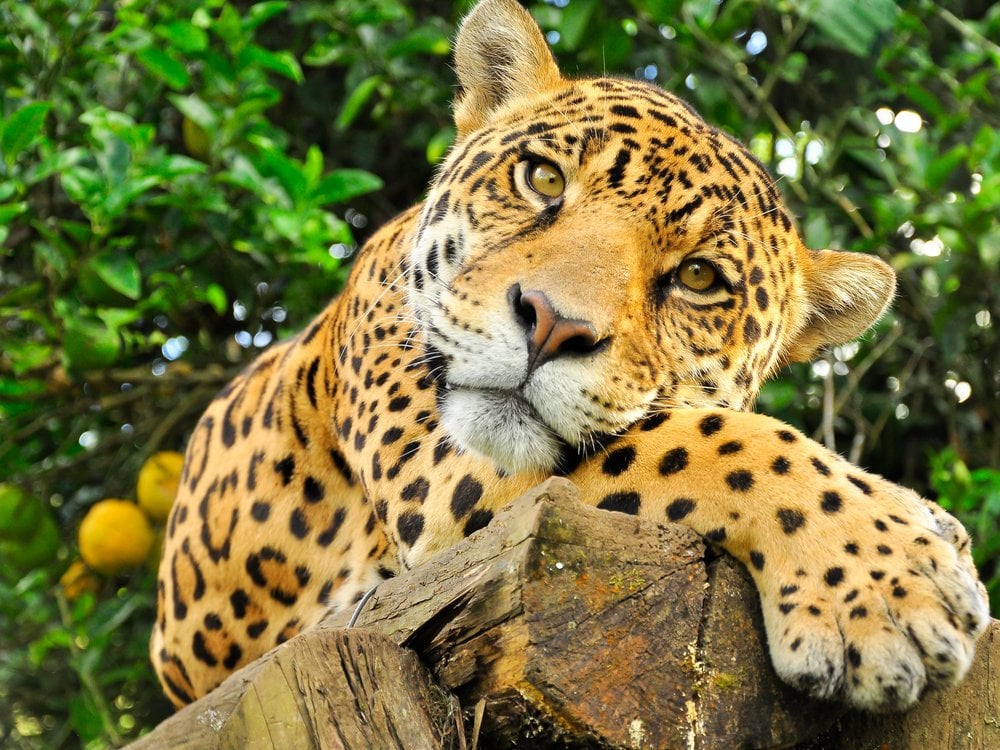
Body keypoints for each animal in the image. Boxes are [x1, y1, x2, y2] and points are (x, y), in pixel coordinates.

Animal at [152, 0, 989, 715]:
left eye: (698, 278)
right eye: (543, 178)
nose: (552, 325)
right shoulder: (445, 474)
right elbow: (708, 444)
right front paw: (890, 581)